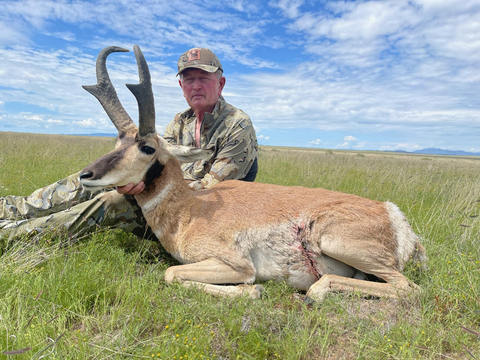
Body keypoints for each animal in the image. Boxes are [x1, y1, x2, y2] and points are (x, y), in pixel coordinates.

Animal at [79, 46, 428, 302]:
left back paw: (316, 291)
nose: (86, 174)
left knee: (408, 288)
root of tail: (393, 214)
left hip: (336, 241)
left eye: (148, 148)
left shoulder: (235, 264)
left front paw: (254, 291)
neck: (190, 210)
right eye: (117, 140)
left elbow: (172, 274)